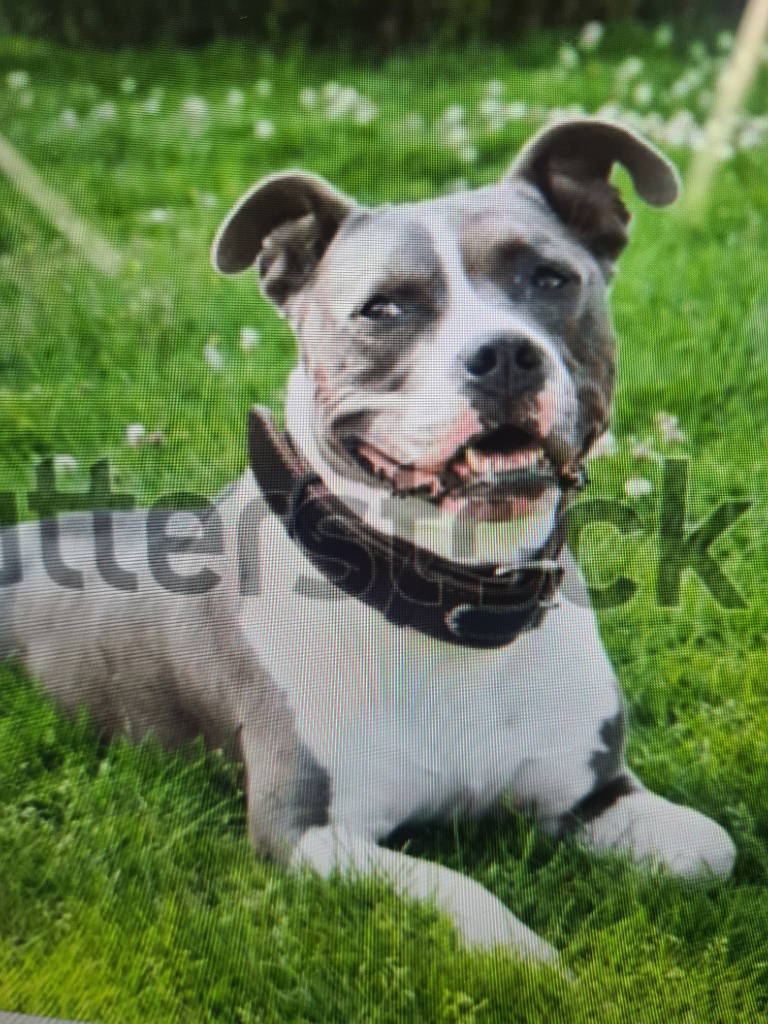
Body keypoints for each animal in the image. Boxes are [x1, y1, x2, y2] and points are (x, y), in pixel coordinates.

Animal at [2, 119, 735, 968]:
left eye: (550, 278)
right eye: (383, 308)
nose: (504, 353)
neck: (453, 595)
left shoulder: (592, 792)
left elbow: (715, 849)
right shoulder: (307, 832)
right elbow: (467, 898)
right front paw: (538, 966)